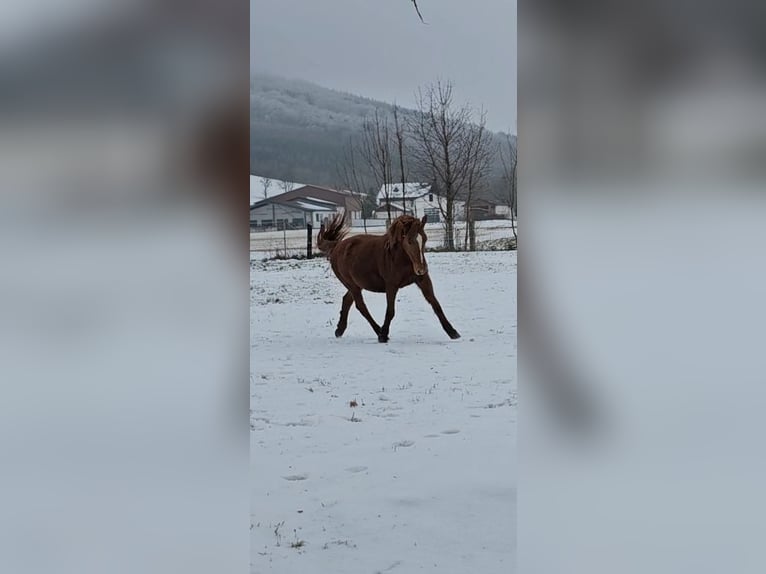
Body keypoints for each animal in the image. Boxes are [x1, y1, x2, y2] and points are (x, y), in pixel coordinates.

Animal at [317, 211, 461, 343]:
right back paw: (378, 331)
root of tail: (336, 246)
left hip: (357, 284)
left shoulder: (423, 280)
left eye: (424, 239)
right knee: (360, 306)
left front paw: (453, 332)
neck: (402, 259)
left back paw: (339, 330)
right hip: (352, 285)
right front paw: (383, 335)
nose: (421, 269)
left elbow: (436, 305)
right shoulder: (391, 285)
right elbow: (390, 311)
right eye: (409, 241)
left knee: (347, 300)